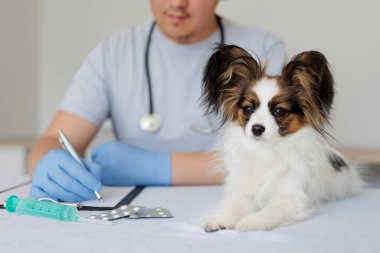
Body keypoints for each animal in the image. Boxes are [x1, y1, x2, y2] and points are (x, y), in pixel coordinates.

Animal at [202, 45, 362, 231]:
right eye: (249, 109)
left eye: (279, 111)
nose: (257, 129)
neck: (266, 151)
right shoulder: (243, 192)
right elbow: (234, 206)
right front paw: (220, 219)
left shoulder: (291, 199)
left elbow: (268, 212)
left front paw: (248, 222)